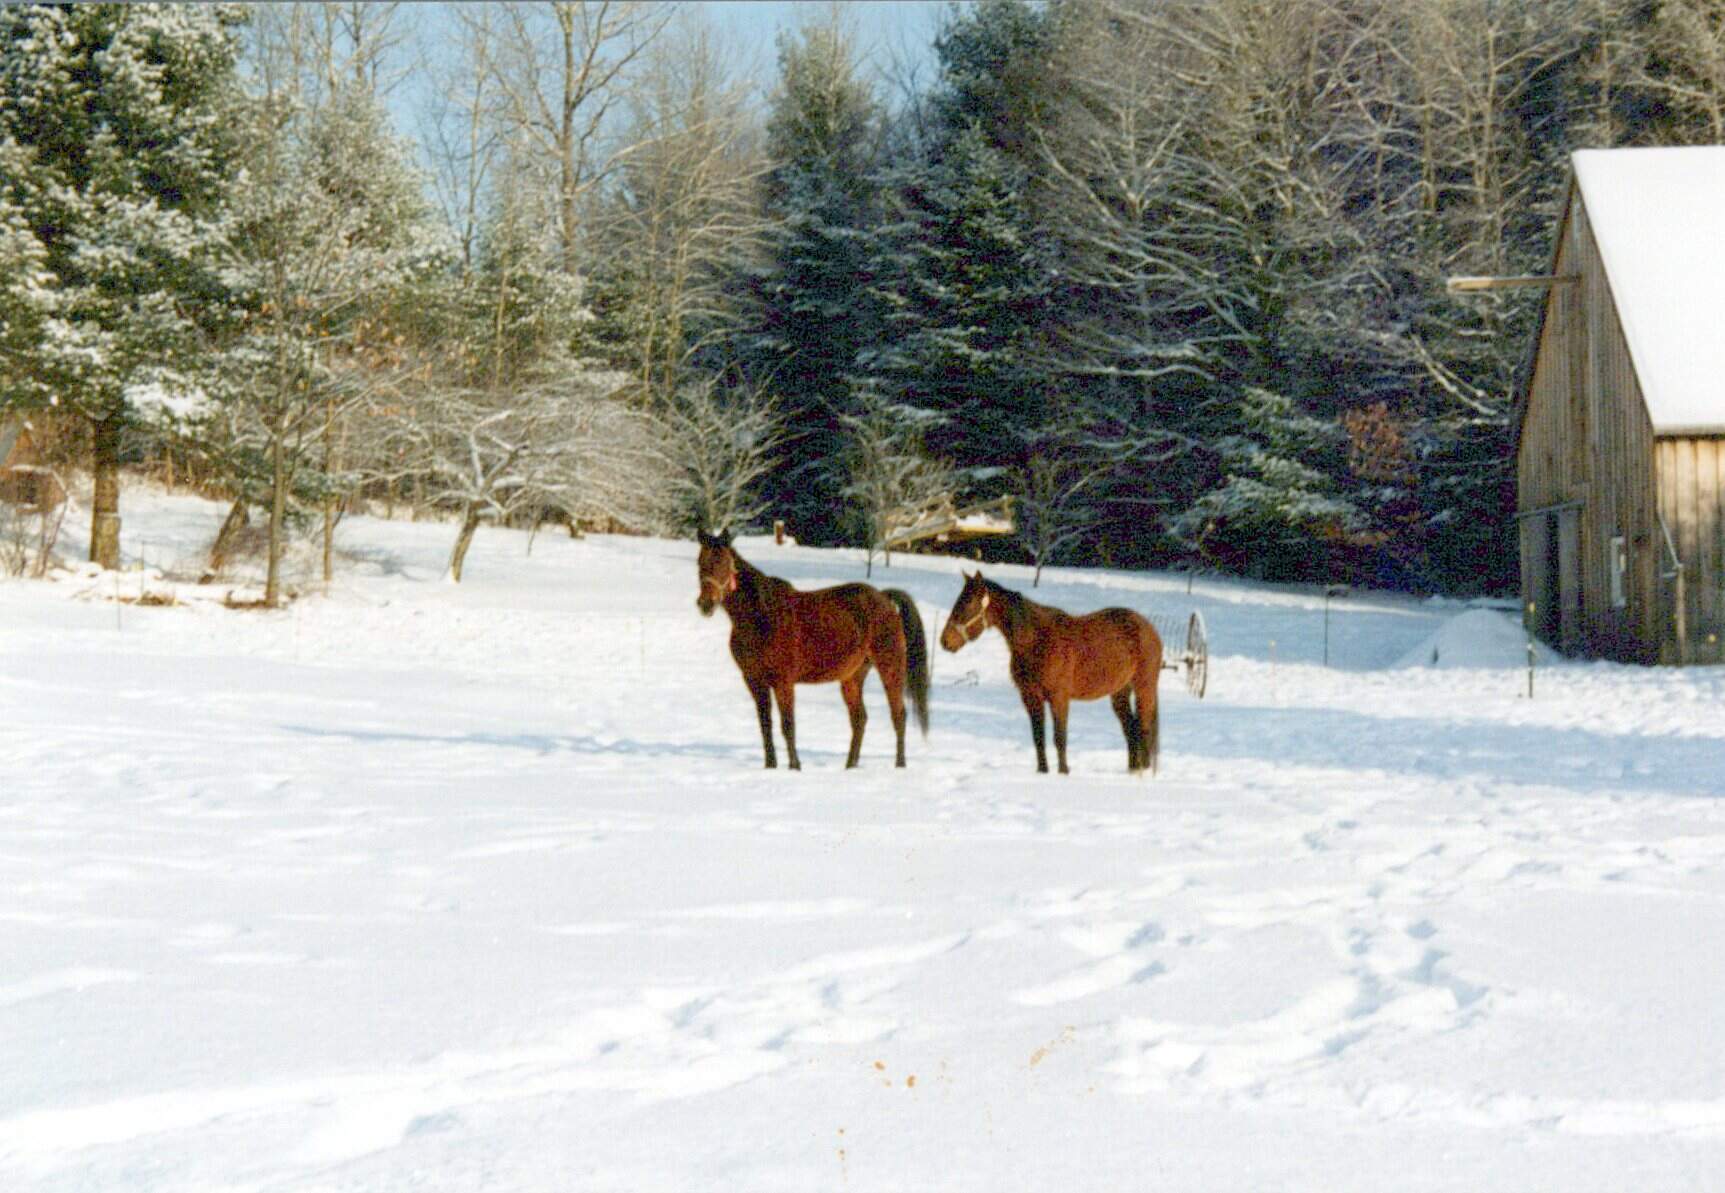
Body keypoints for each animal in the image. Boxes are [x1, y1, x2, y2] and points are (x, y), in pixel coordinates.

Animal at [696, 529, 930, 770]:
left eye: (725, 563)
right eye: (700, 563)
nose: (706, 604)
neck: (762, 616)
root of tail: (884, 597)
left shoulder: (783, 681)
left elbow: (787, 725)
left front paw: (795, 766)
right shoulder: (754, 680)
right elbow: (765, 725)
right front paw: (771, 766)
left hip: (890, 667)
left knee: (898, 715)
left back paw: (899, 764)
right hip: (852, 676)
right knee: (859, 719)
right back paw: (850, 766)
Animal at [939, 571, 1161, 775]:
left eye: (968, 605)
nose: (945, 642)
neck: (1037, 641)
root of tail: (1147, 626)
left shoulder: (1058, 698)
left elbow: (1059, 737)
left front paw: (1063, 772)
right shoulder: (1031, 697)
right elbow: (1038, 737)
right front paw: (1042, 771)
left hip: (1144, 687)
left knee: (1143, 726)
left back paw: (1144, 770)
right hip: (1119, 692)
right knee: (1130, 728)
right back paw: (1134, 770)